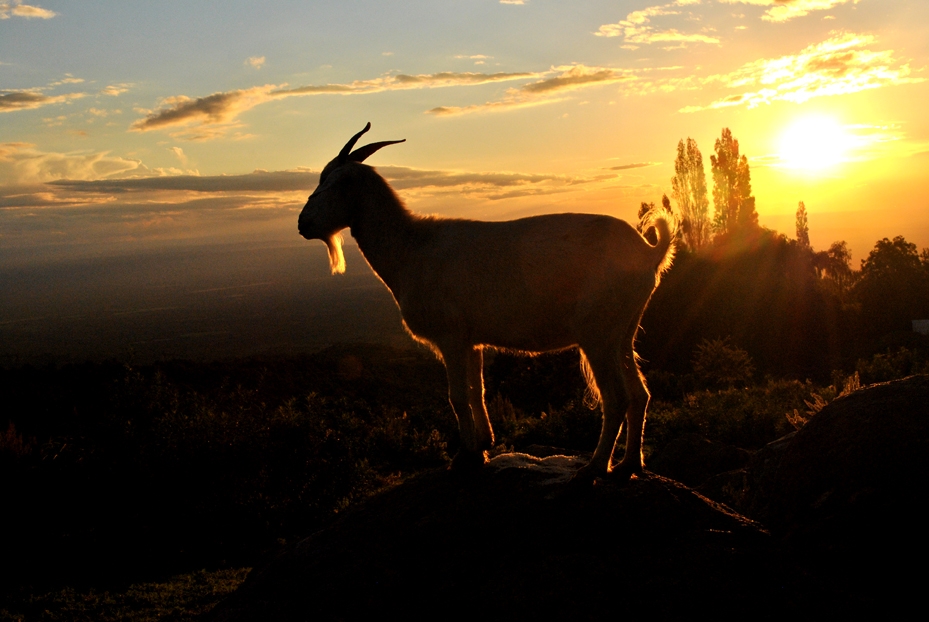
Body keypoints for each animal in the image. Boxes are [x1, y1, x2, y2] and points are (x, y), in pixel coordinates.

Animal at [300, 122, 672, 482]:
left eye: (332, 184)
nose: (303, 223)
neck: (411, 247)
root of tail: (649, 253)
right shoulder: (471, 340)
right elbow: (476, 390)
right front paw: (483, 446)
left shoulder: (450, 336)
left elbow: (457, 395)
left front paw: (463, 456)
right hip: (623, 331)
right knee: (639, 394)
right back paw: (628, 466)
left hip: (598, 332)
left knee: (617, 398)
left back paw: (594, 468)